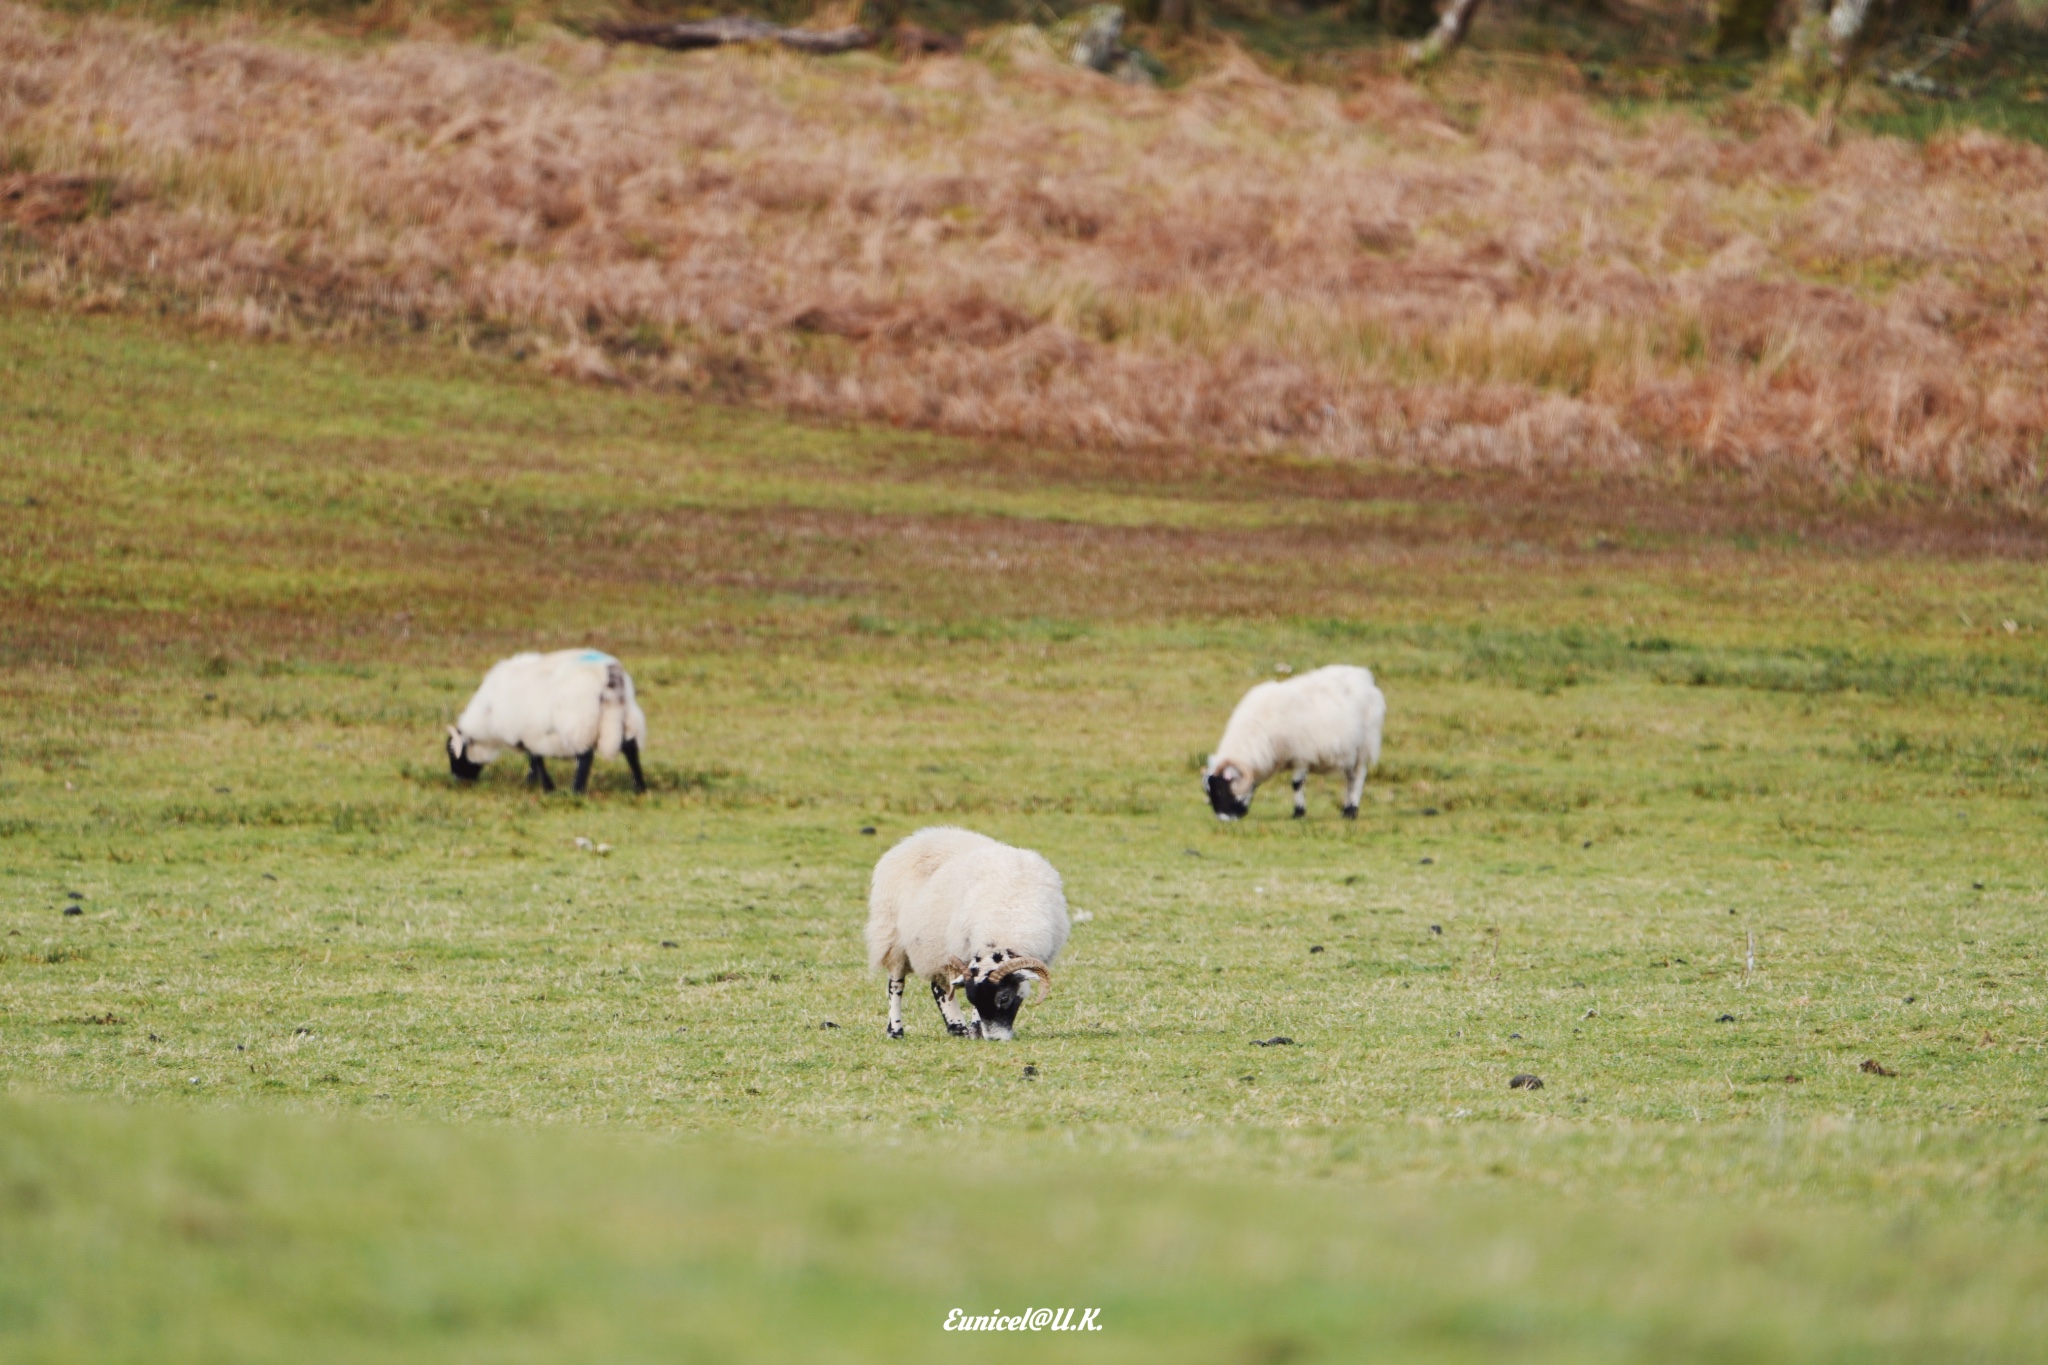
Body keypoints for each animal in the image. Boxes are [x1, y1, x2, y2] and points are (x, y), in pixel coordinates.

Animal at [448, 654, 647, 802]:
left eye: (453, 753)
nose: (457, 779)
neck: (486, 718)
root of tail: (609, 674)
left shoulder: (527, 732)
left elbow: (535, 758)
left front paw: (545, 786)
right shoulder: (529, 732)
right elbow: (534, 758)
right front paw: (532, 782)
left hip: (580, 721)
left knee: (585, 755)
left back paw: (576, 790)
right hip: (627, 714)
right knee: (630, 748)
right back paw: (640, 786)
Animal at [864, 826, 1073, 1039]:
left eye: (1004, 998)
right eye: (973, 1000)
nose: (995, 1039)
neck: (1006, 924)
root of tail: (918, 837)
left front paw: (974, 1031)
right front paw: (976, 1030)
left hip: (934, 947)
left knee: (939, 986)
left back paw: (956, 1028)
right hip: (892, 937)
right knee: (896, 986)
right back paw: (896, 1030)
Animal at [1204, 663, 1384, 822]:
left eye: (1220, 791)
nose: (1223, 819)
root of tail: (1364, 676)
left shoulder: (1302, 755)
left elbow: (1296, 784)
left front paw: (1299, 813)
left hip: (1364, 746)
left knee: (1359, 777)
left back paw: (1352, 811)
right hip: (1349, 752)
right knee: (1350, 779)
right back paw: (1346, 810)